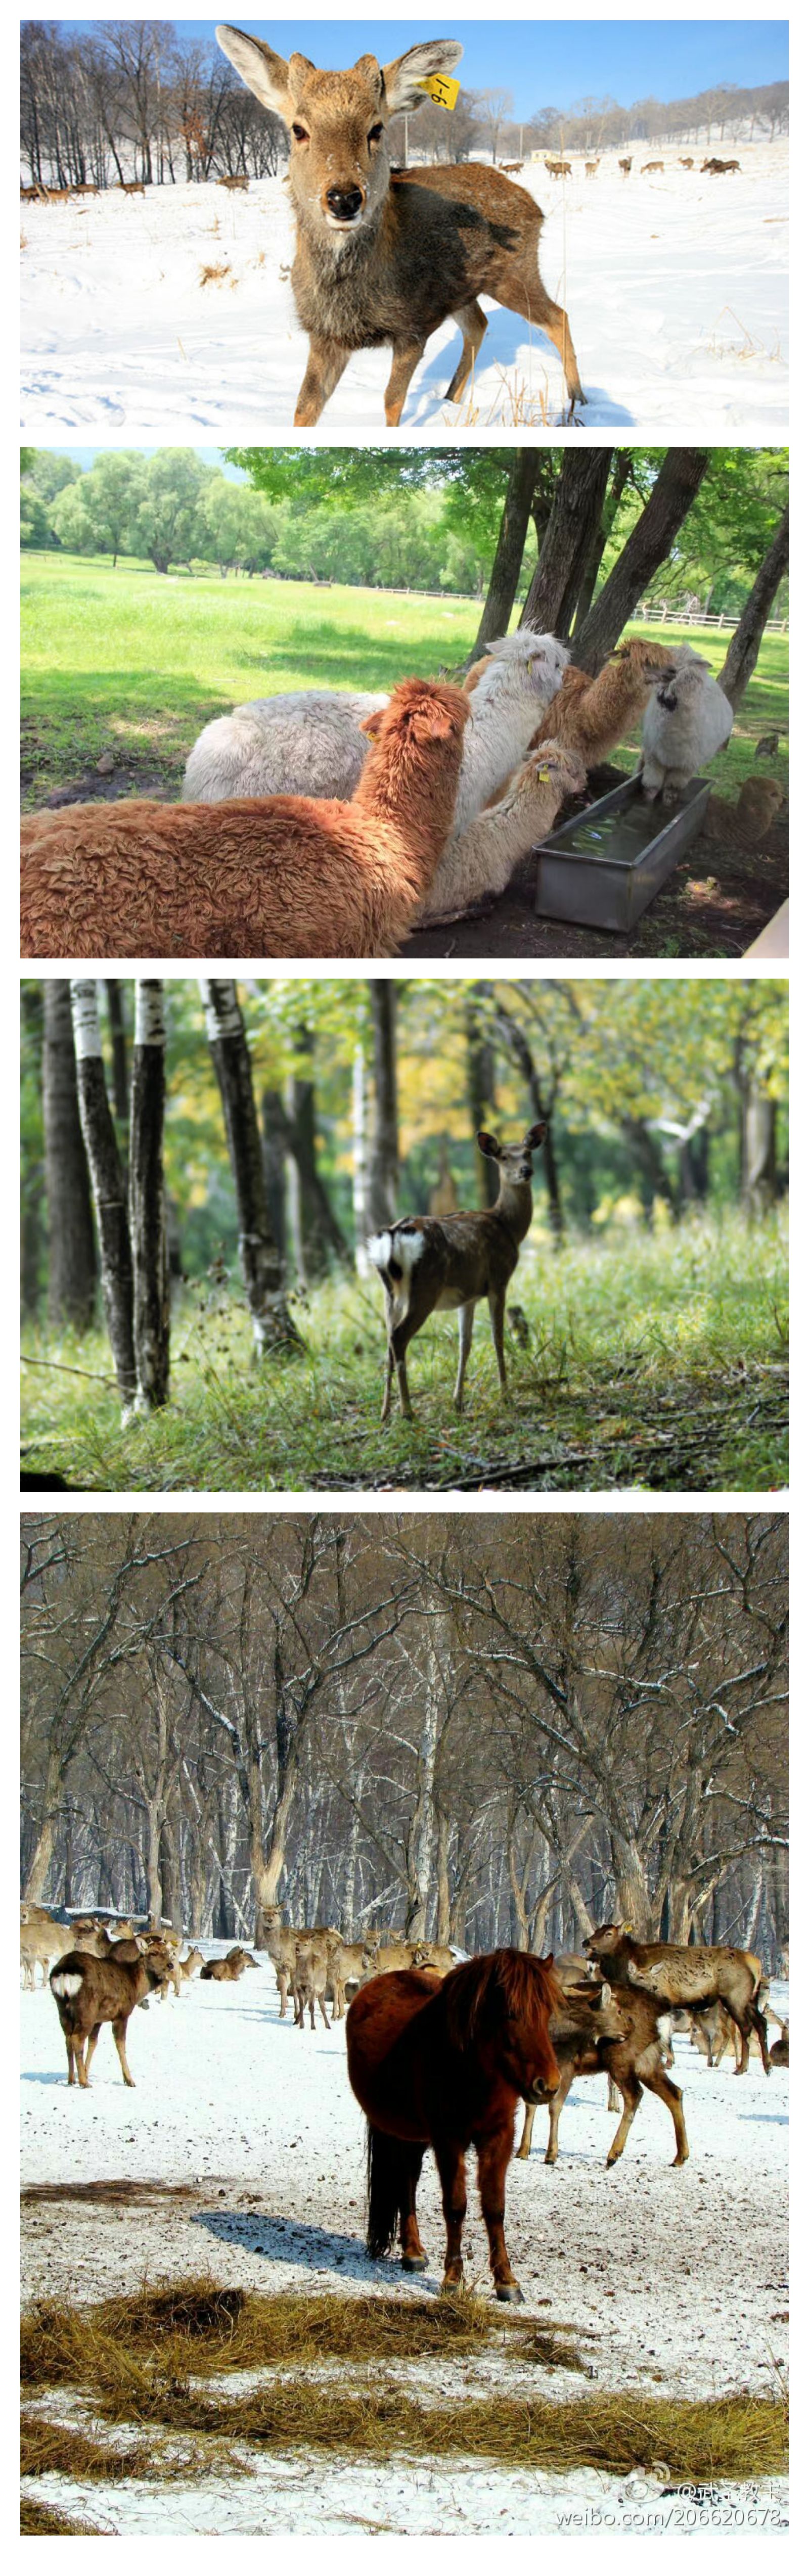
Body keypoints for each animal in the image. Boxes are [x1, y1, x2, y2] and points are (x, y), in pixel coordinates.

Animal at [215, 26, 582, 422]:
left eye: (376, 129)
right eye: (299, 130)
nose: (344, 198)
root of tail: (534, 205)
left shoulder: (414, 325)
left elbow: (392, 401)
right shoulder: (325, 335)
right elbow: (304, 407)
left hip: (515, 272)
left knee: (558, 317)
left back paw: (578, 402)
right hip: (460, 291)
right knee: (480, 324)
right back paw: (451, 399)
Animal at [345, 1947, 559, 2297]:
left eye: (547, 2013)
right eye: (510, 2013)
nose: (549, 2085)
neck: (471, 2068)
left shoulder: (499, 2137)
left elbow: (495, 2206)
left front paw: (507, 2280)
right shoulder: (449, 2140)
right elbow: (456, 2205)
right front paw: (453, 2278)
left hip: (414, 2136)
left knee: (408, 2180)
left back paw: (414, 2251)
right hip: (398, 2130)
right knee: (404, 2184)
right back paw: (413, 2253)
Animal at [371, 1118, 546, 1421]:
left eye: (528, 1153)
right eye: (503, 1157)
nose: (526, 1171)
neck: (509, 1228)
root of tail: (393, 1236)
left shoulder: (469, 1296)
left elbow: (466, 1344)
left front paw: (458, 1402)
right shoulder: (499, 1280)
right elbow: (498, 1338)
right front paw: (506, 1396)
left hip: (390, 1293)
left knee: (388, 1341)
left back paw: (384, 1413)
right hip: (425, 1288)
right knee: (399, 1337)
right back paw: (407, 1411)